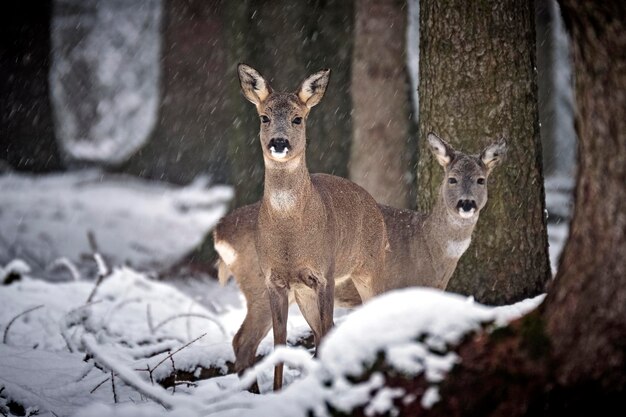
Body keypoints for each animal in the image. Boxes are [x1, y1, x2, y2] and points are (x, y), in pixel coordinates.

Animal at [213, 131, 502, 386]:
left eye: (481, 180)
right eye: (452, 179)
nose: (466, 204)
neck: (428, 246)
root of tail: (220, 233)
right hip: (260, 285)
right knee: (243, 342)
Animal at [219, 64, 386, 390]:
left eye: (298, 118)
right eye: (264, 117)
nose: (279, 143)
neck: (290, 235)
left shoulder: (324, 274)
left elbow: (320, 335)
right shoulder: (274, 280)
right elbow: (280, 343)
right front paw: (278, 391)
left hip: (369, 269)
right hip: (291, 292)